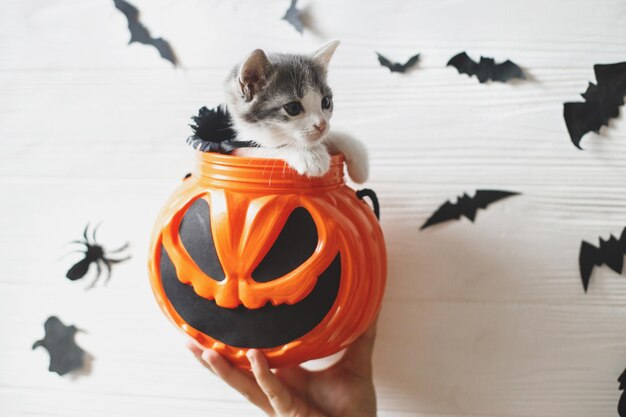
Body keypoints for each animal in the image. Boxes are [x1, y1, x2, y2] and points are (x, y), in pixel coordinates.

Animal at [223, 41, 366, 183]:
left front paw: (360, 164)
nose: (322, 125)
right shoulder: (239, 149)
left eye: (326, 102)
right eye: (293, 108)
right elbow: (266, 148)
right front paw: (310, 154)